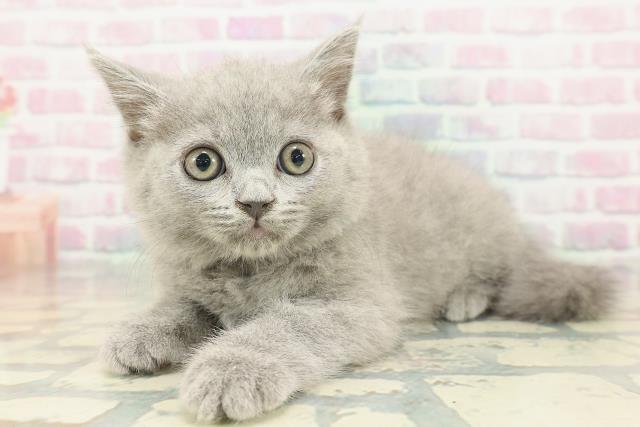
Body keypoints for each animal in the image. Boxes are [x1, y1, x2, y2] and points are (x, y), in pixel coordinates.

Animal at [90, 24, 614, 422]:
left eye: (296, 157)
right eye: (203, 163)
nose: (256, 203)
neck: (251, 271)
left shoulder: (364, 304)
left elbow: (286, 325)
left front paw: (229, 370)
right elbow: (182, 306)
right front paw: (139, 334)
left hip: (483, 235)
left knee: (501, 275)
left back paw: (465, 300)